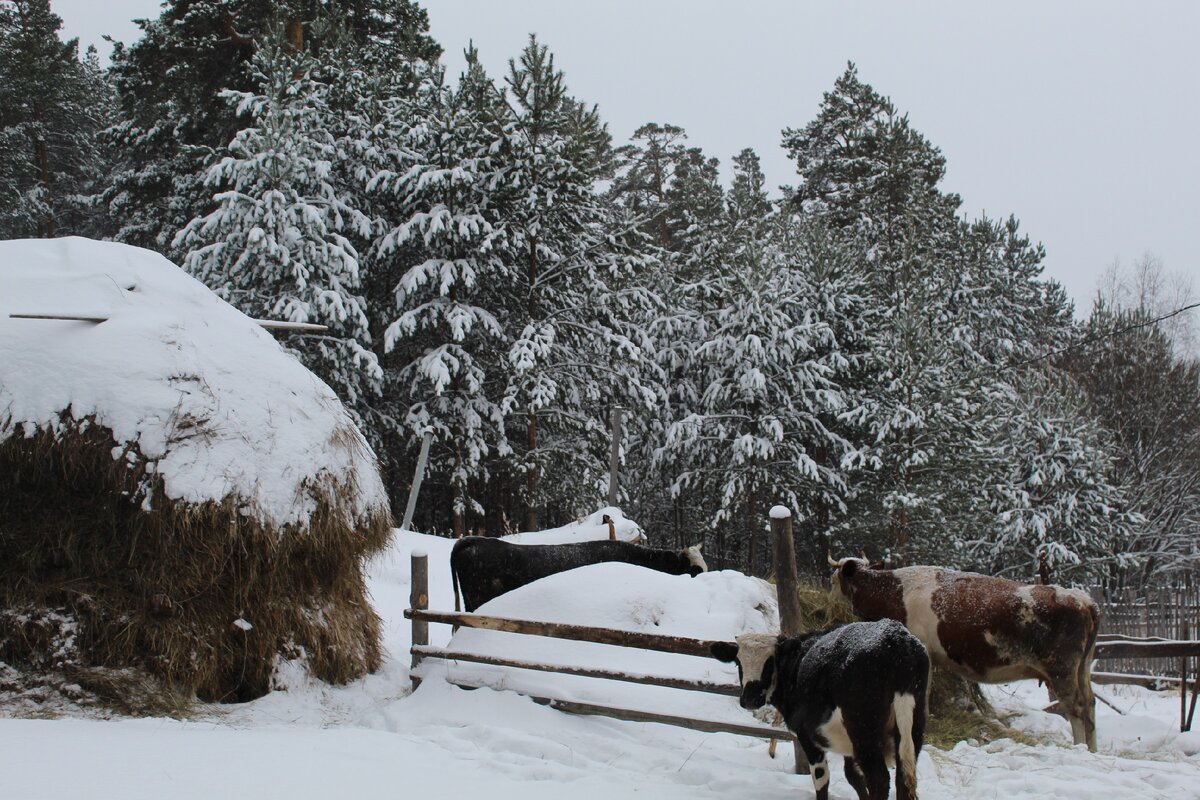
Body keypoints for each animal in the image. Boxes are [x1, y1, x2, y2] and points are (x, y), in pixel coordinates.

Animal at [710, 623, 926, 800]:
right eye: (738, 662)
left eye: (770, 663)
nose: (750, 699)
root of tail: (896, 639)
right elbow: (852, 775)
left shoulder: (806, 735)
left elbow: (822, 779)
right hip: (912, 730)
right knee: (902, 781)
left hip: (864, 733)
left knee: (879, 780)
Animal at [835, 556, 1099, 753]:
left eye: (835, 577)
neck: (896, 591)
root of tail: (1082, 599)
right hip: (1082, 669)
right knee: (1089, 703)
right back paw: (1093, 749)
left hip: (1061, 670)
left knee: (1076, 707)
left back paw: (1080, 748)